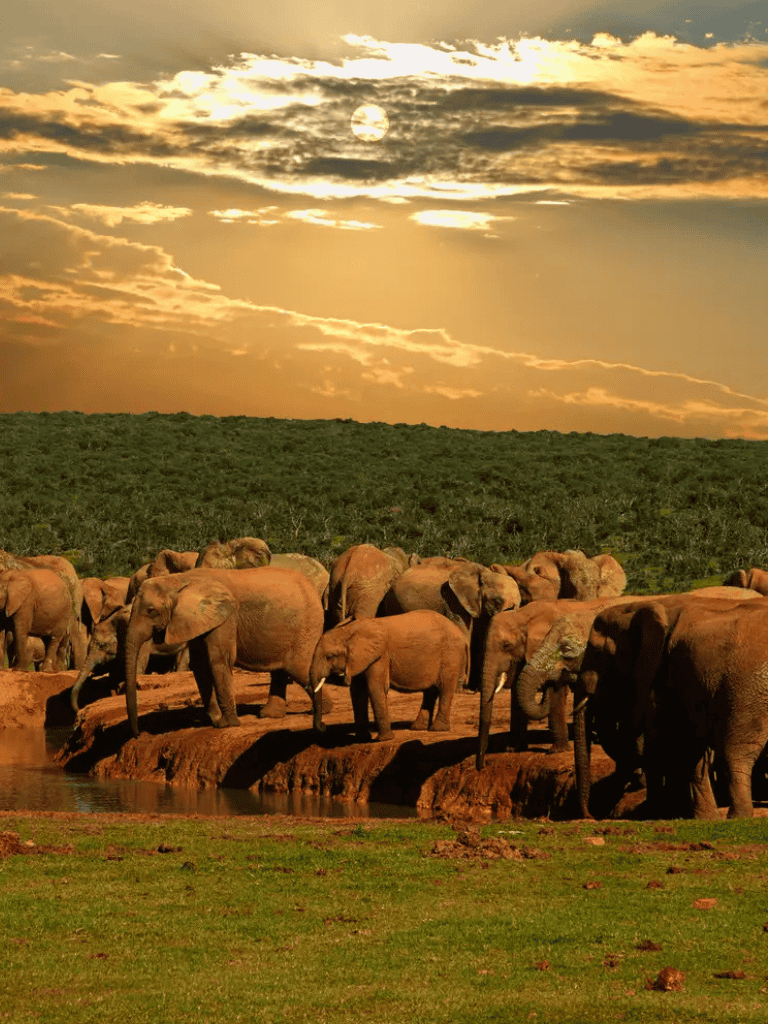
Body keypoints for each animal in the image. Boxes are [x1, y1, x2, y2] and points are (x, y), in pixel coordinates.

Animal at [124, 567, 325, 736]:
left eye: (151, 611)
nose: (137, 734)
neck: (179, 579)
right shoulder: (198, 619)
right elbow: (200, 665)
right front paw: (214, 720)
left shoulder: (225, 618)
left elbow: (218, 661)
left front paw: (226, 724)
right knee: (282, 668)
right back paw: (272, 715)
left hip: (308, 623)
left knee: (297, 667)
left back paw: (322, 711)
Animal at [309, 609, 468, 741]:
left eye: (330, 656)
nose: (324, 726)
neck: (349, 631)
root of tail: (458, 630)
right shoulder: (360, 660)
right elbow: (357, 693)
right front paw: (363, 738)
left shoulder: (380, 657)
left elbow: (375, 688)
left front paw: (385, 739)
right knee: (430, 692)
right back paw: (418, 728)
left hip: (451, 654)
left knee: (445, 688)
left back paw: (438, 729)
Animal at [574, 590, 768, 819]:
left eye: (597, 652)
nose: (591, 816)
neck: (641, 605)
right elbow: (687, 745)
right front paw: (704, 818)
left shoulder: (661, 673)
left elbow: (665, 739)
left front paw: (653, 813)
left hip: (747, 687)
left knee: (736, 752)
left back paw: (738, 817)